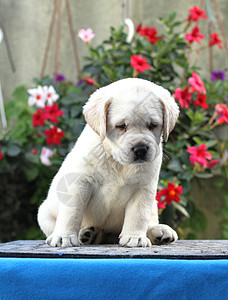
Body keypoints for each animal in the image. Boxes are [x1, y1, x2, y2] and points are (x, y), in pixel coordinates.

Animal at [37, 78, 180, 247]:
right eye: (121, 126)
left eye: (152, 125)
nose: (140, 149)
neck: (117, 162)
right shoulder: (80, 183)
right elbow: (71, 213)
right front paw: (63, 236)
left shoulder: (144, 188)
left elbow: (138, 215)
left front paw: (135, 237)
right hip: (44, 213)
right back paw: (86, 234)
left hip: (153, 205)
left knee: (149, 221)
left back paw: (159, 231)